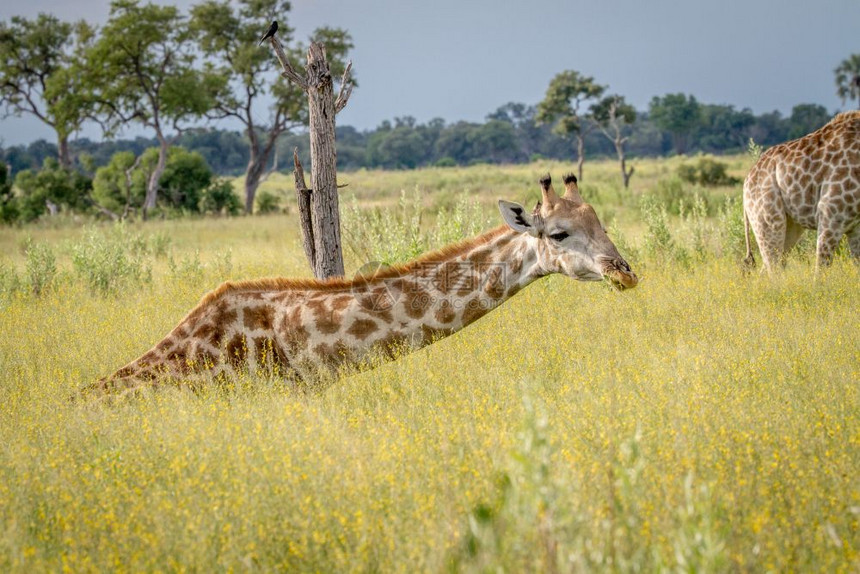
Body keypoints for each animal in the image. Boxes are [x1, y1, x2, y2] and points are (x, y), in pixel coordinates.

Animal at [744, 110, 856, 272]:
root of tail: (747, 180)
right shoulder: (830, 215)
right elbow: (821, 269)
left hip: (790, 225)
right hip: (767, 220)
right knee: (773, 268)